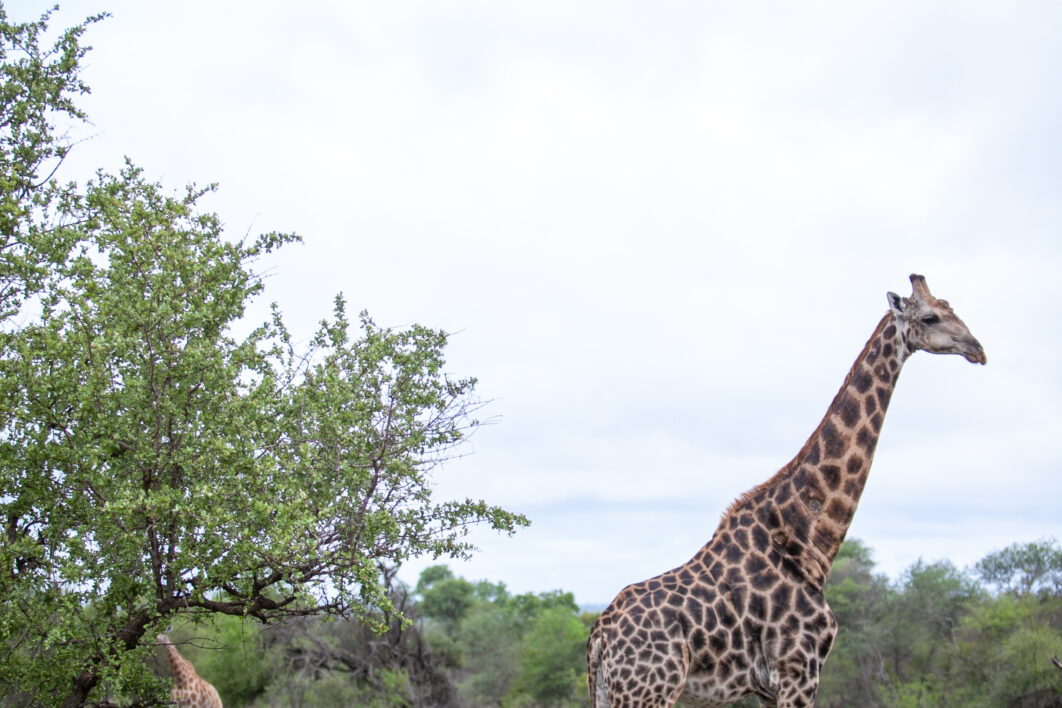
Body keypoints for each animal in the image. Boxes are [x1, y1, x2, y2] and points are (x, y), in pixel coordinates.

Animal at [586, 273, 981, 704]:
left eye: (951, 307)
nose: (977, 349)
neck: (808, 540)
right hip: (649, 691)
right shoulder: (799, 671)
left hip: (613, 693)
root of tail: (598, 637)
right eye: (929, 318)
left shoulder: (769, 688)